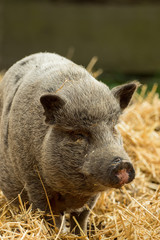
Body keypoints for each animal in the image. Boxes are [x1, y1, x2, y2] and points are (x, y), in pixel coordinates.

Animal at [0, 52, 137, 234]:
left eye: (113, 127)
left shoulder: (92, 196)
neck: (73, 193)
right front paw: (57, 234)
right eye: (78, 134)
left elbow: (82, 216)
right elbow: (47, 215)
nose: (122, 164)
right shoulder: (33, 180)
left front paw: (82, 235)